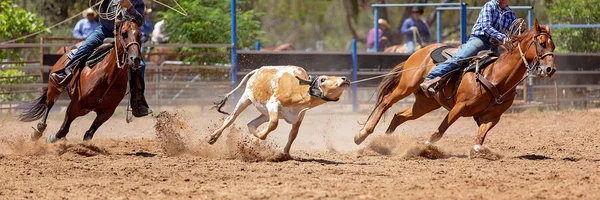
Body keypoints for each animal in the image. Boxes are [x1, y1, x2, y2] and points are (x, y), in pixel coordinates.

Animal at [207, 65, 350, 156]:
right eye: (323, 79)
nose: (345, 79)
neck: (296, 90)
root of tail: (257, 71)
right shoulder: (273, 105)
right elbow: (274, 124)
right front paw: (259, 137)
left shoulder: (299, 116)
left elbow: (293, 134)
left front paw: (285, 153)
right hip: (246, 98)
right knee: (231, 118)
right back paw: (213, 137)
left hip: (264, 113)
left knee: (251, 123)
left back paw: (253, 137)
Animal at [354, 19, 556, 152]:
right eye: (541, 43)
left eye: (553, 46)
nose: (550, 69)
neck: (495, 76)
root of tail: (419, 51)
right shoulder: (459, 107)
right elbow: (440, 131)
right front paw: (426, 148)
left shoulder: (492, 117)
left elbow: (479, 139)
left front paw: (479, 151)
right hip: (406, 86)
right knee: (386, 102)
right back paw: (362, 135)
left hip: (425, 103)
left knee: (398, 116)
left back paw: (385, 142)